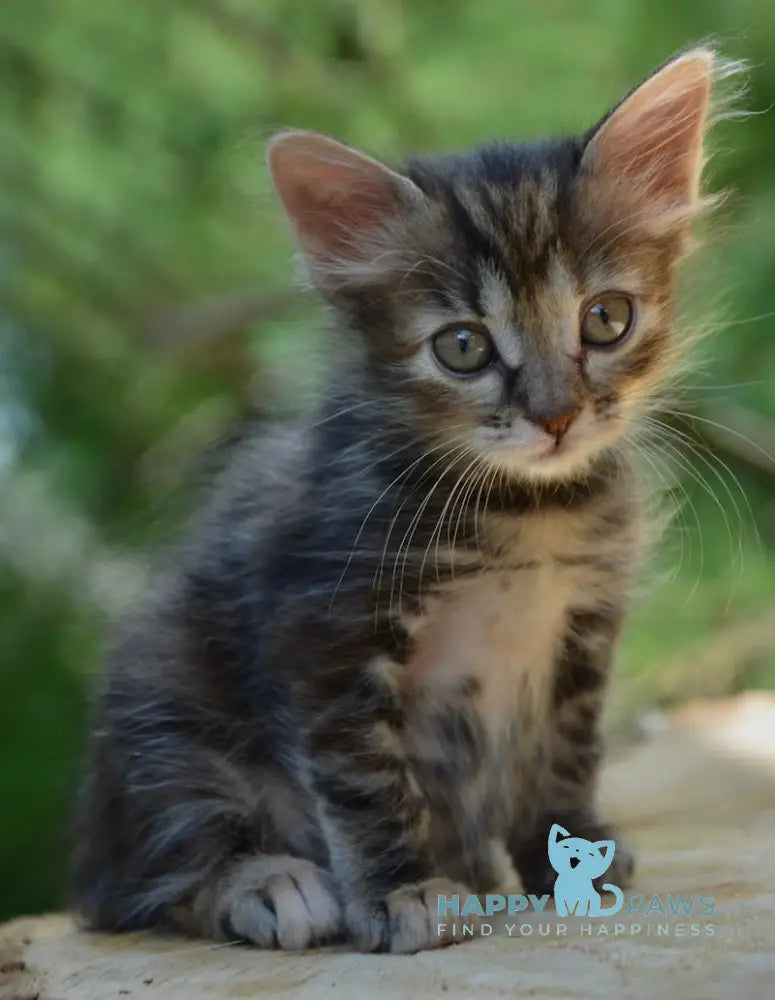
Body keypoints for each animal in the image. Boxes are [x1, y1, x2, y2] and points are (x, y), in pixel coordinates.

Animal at [74, 47, 732, 952]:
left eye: (605, 319)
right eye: (461, 348)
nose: (555, 416)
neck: (525, 511)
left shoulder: (583, 620)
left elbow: (566, 749)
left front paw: (568, 850)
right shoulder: (324, 623)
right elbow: (364, 778)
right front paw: (401, 890)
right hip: (162, 697)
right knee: (148, 874)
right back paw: (271, 882)